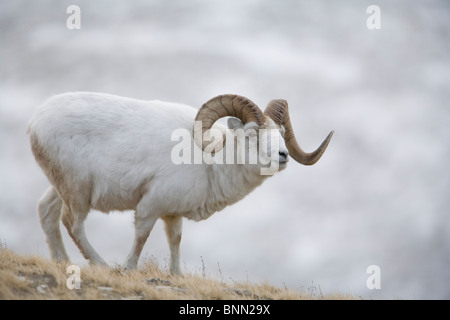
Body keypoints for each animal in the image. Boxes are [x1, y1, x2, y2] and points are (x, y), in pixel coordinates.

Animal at [27, 92, 330, 276]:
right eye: (252, 133)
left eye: (281, 132)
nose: (283, 155)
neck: (211, 164)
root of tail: (35, 122)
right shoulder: (149, 208)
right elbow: (141, 238)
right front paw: (127, 269)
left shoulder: (172, 215)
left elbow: (175, 242)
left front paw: (177, 275)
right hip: (77, 192)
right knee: (72, 223)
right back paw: (103, 266)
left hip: (62, 188)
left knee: (46, 213)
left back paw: (63, 263)